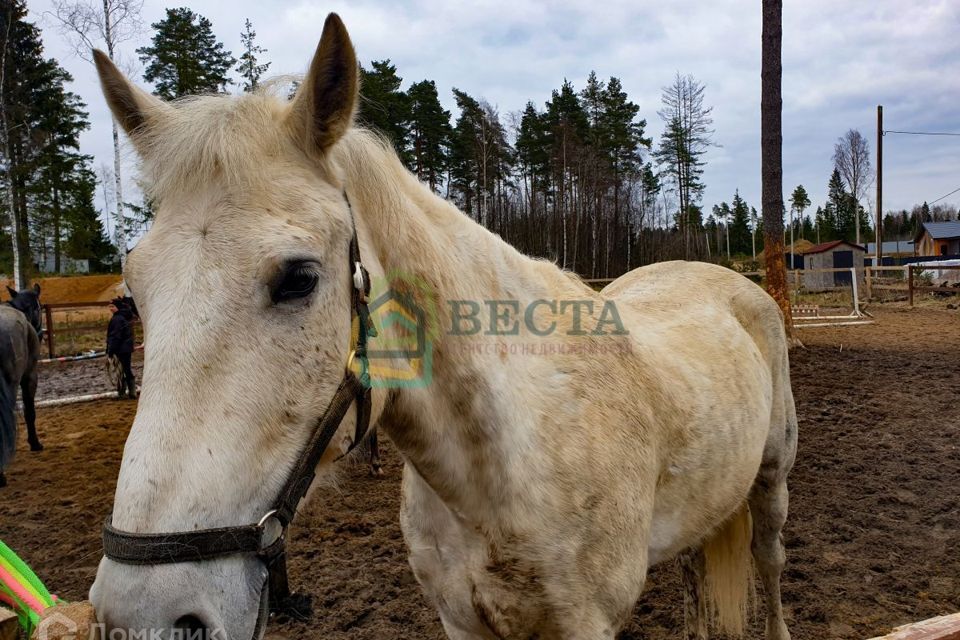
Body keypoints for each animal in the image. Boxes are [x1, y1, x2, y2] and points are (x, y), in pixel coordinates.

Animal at [88, 15, 796, 640]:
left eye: (298, 278)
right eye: (136, 288)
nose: (143, 616)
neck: (502, 470)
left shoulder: (586, 625)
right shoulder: (461, 620)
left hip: (771, 483)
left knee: (770, 565)